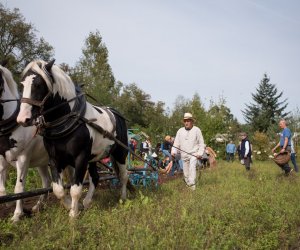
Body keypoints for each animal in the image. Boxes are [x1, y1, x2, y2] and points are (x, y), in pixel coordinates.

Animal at [0, 63, 50, 222]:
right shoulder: (1, 158)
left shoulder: (23, 158)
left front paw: (17, 215)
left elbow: (19, 188)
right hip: (43, 162)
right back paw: (38, 206)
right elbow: (1, 188)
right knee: (47, 182)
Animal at [17, 59, 132, 218]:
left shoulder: (80, 158)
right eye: (22, 84)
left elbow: (76, 189)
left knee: (124, 175)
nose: (23, 119)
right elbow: (58, 189)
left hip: (120, 153)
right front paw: (68, 205)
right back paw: (87, 202)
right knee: (95, 177)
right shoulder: (55, 159)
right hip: (93, 158)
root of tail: (116, 113)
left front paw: (73, 214)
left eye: (38, 85)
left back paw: (123, 197)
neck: (68, 120)